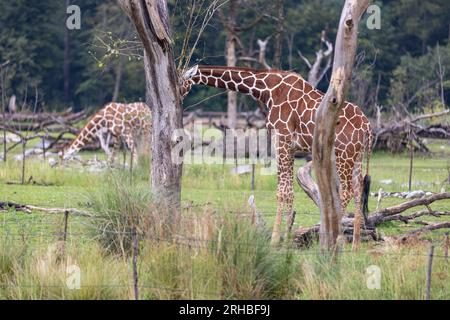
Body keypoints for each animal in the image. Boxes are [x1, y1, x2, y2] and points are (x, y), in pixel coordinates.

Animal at [179, 65, 372, 245]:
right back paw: (355, 245)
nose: (179, 95)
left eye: (181, 79)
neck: (268, 90)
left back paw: (335, 238)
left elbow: (281, 191)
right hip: (356, 156)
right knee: (358, 189)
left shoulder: (281, 141)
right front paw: (287, 236)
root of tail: (367, 126)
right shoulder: (291, 147)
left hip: (344, 154)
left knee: (347, 191)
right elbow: (290, 191)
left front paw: (275, 239)